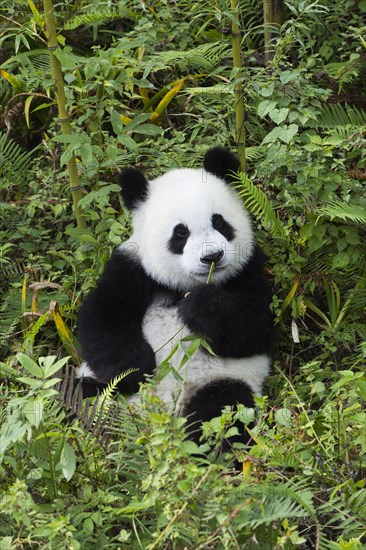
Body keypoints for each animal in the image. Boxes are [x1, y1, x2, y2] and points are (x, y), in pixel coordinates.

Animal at [77, 148, 274, 448]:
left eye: (219, 222)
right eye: (181, 232)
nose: (212, 256)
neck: (182, 285)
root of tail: (155, 414)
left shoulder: (248, 269)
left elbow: (255, 327)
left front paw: (201, 307)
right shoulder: (132, 268)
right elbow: (101, 318)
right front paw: (136, 369)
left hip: (220, 380)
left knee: (223, 409)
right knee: (78, 390)